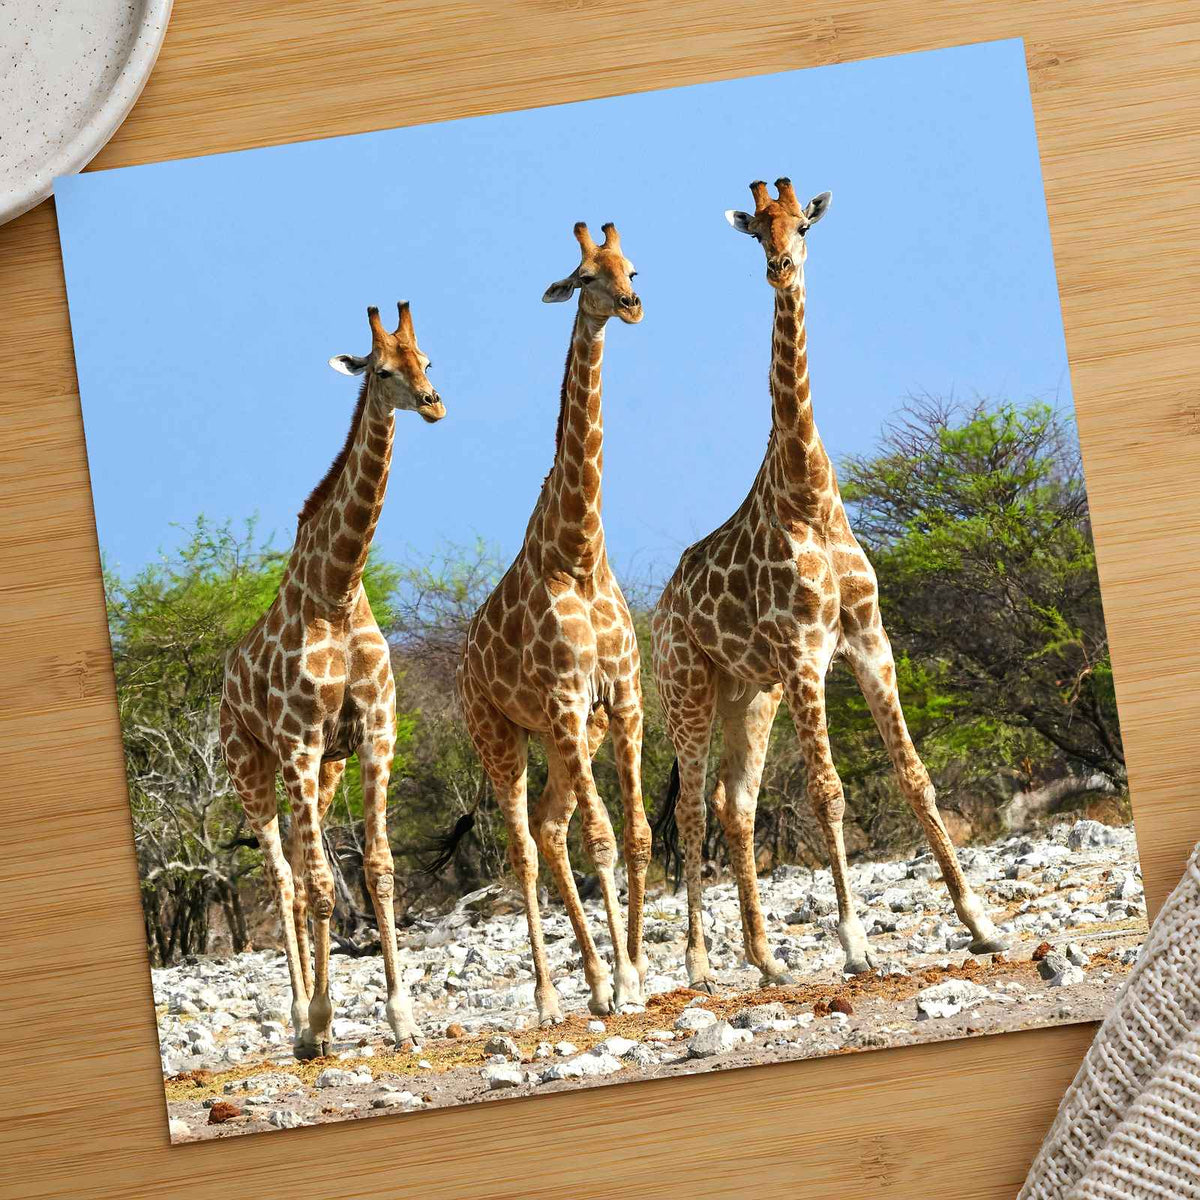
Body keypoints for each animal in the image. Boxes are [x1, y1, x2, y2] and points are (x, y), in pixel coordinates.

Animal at [220, 301, 444, 1058]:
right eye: (382, 370)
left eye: (424, 359)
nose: (433, 403)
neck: (338, 589)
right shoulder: (298, 742)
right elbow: (318, 883)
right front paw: (319, 1020)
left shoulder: (373, 734)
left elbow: (376, 869)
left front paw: (402, 1018)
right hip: (252, 767)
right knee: (284, 875)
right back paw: (299, 1022)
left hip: (323, 772)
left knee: (301, 866)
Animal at [651, 179, 1008, 990]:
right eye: (758, 231)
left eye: (803, 225)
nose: (780, 267)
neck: (809, 494)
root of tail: (657, 610)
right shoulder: (806, 655)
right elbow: (828, 792)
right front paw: (853, 942)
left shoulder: (870, 643)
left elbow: (915, 776)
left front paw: (980, 923)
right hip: (688, 686)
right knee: (690, 810)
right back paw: (699, 965)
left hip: (749, 694)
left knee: (735, 804)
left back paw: (766, 962)